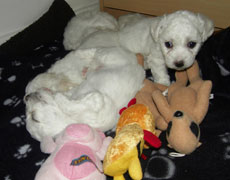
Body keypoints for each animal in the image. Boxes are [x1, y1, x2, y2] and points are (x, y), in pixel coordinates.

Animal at [63, 10, 215, 85]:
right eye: (168, 44)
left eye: (191, 44)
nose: (179, 64)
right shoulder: (156, 57)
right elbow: (160, 72)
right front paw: (163, 84)